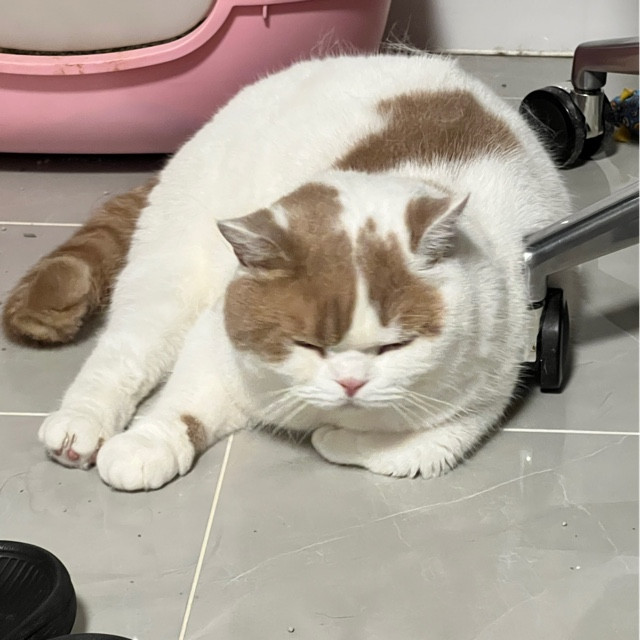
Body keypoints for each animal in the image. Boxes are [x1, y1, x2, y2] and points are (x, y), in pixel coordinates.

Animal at [3, 51, 569, 491]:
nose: (349, 384)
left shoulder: (479, 401)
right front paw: (143, 447)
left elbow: (408, 449)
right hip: (168, 275)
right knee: (122, 353)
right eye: (306, 345)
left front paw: (336, 437)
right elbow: (181, 404)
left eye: (394, 347)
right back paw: (78, 429)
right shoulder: (218, 340)